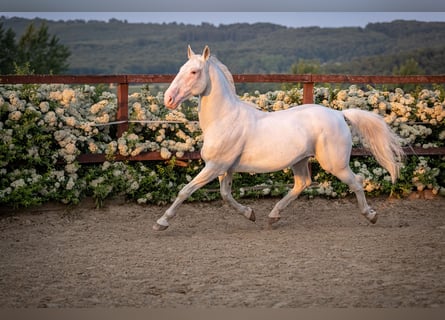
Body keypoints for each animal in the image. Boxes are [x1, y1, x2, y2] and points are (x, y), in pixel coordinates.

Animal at [152, 45, 402, 230]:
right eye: (181, 68)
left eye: (194, 71)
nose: (169, 99)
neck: (224, 119)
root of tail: (339, 114)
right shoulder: (224, 168)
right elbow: (225, 195)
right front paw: (251, 214)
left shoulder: (215, 166)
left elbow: (186, 190)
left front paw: (161, 222)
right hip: (300, 161)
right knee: (302, 184)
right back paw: (273, 216)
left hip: (335, 164)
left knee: (356, 182)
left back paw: (371, 215)